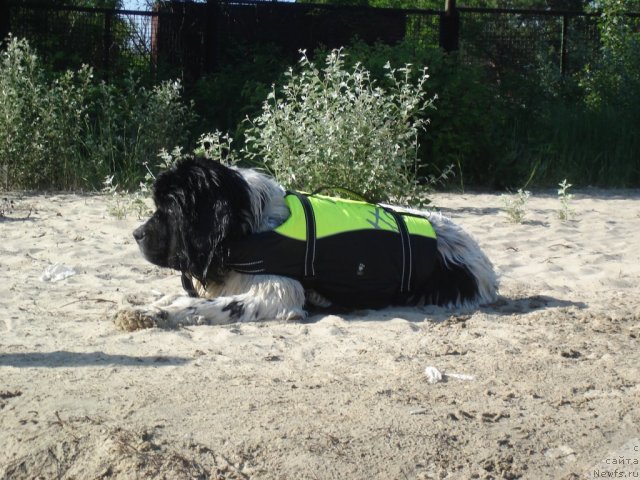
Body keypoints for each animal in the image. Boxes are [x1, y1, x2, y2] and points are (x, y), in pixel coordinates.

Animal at [115, 158, 498, 330]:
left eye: (168, 209)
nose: (136, 234)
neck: (248, 227)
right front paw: (149, 304)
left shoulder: (277, 294)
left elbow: (202, 306)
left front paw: (152, 314)